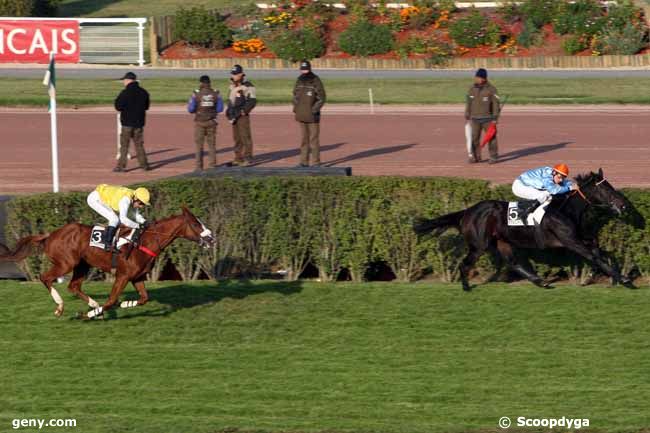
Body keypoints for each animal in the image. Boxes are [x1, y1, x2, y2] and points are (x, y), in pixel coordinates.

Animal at [0, 206, 214, 318]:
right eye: (196, 224)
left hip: (82, 265)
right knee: (45, 278)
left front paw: (125, 304)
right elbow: (111, 301)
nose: (211, 238)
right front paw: (87, 315)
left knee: (73, 286)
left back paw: (93, 304)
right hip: (66, 263)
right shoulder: (123, 275)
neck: (145, 241)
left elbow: (144, 298)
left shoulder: (137, 277)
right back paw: (61, 307)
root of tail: (50, 234)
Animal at [412, 169, 632, 290]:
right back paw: (466, 287)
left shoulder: (582, 239)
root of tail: (467, 211)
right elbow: (595, 257)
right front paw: (624, 279)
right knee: (465, 264)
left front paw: (618, 278)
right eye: (605, 189)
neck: (566, 209)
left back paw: (540, 281)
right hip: (479, 245)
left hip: (503, 241)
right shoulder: (572, 241)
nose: (623, 206)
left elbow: (604, 254)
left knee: (513, 262)